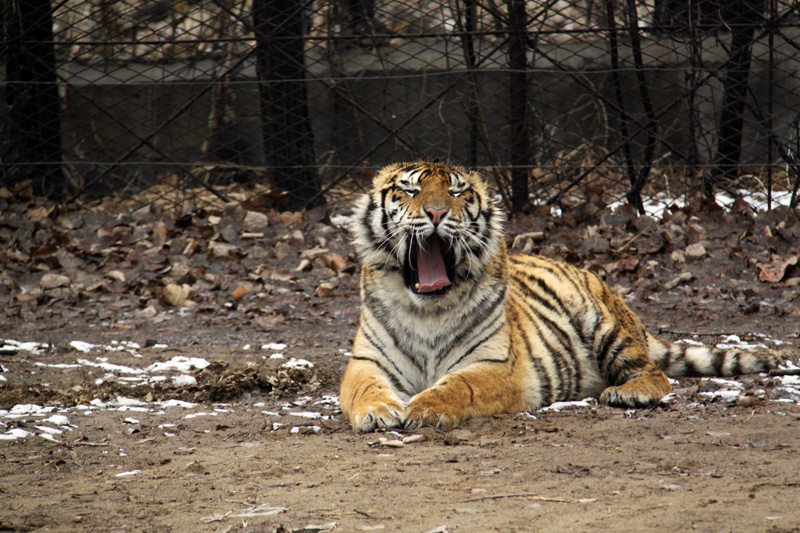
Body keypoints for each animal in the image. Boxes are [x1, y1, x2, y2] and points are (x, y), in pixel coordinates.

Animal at [340, 159, 788, 432]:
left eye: (456, 193)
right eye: (410, 191)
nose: (436, 213)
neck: (427, 311)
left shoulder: (495, 364)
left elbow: (457, 385)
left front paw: (425, 408)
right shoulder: (367, 362)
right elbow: (364, 389)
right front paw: (379, 412)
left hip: (603, 324)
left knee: (654, 373)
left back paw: (629, 393)